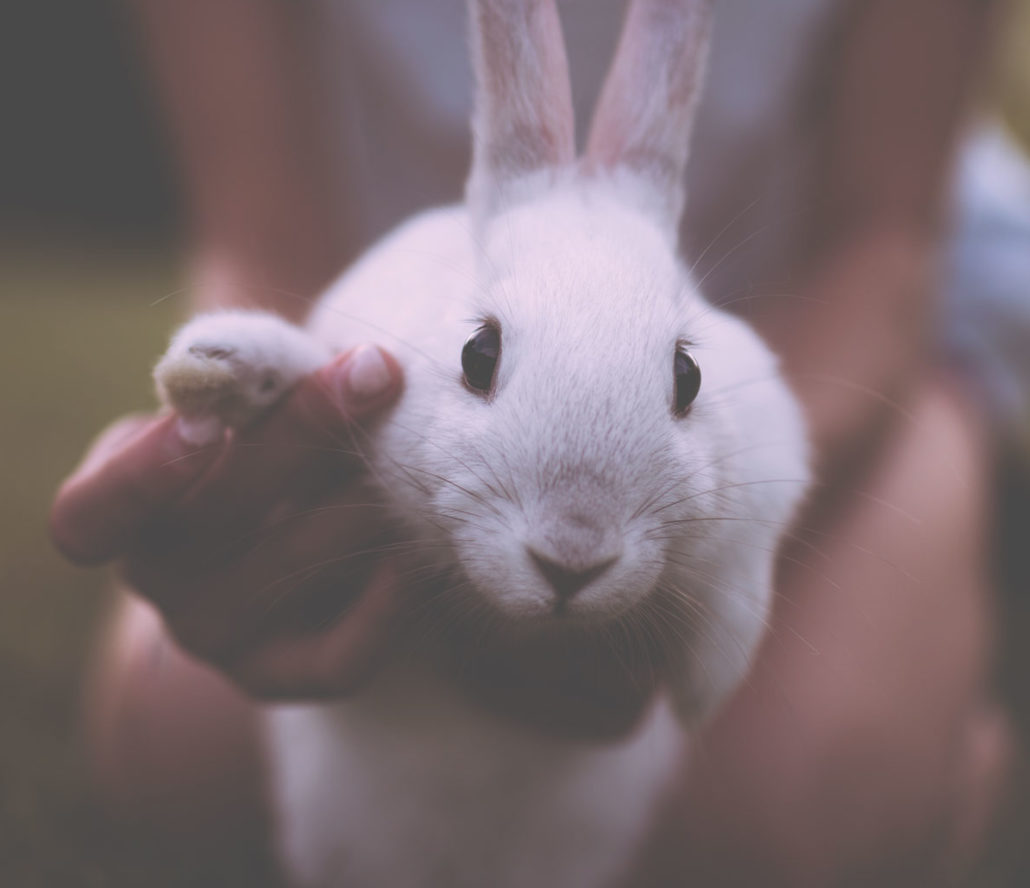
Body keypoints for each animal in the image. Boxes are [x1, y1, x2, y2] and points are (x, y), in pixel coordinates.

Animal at [156, 1, 807, 888]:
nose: (573, 555)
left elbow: (741, 581)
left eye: (687, 375)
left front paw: (707, 685)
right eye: (478, 354)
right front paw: (216, 369)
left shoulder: (770, 467)